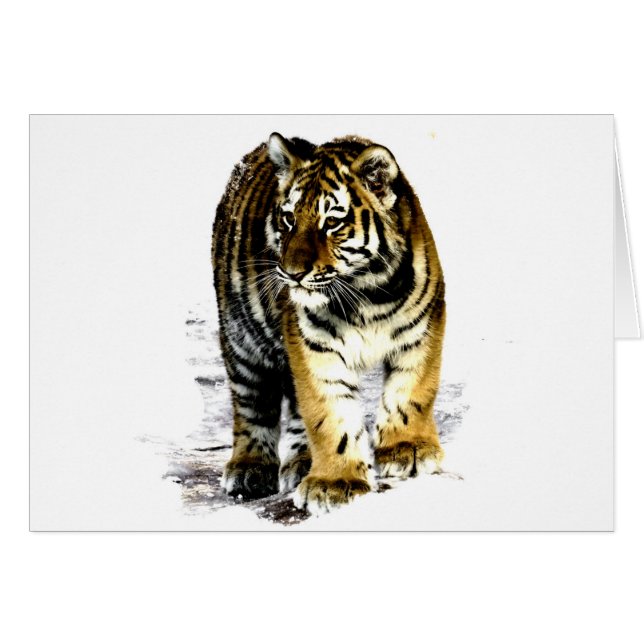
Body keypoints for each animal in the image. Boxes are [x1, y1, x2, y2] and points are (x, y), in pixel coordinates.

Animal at [211, 132, 446, 514]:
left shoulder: (422, 328)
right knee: (252, 404)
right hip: (241, 339)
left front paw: (408, 450)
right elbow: (329, 414)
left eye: (332, 223)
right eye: (288, 219)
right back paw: (250, 469)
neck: (367, 292)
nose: (291, 273)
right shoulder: (313, 345)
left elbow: (411, 392)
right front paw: (336, 483)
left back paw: (302, 462)